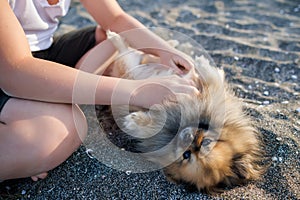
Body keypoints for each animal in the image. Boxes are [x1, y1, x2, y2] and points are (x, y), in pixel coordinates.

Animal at [103, 30, 262, 192]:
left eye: (186, 155)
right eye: (206, 141)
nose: (189, 137)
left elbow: (147, 126)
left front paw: (134, 121)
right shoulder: (210, 94)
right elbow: (212, 79)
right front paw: (201, 63)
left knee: (126, 54)